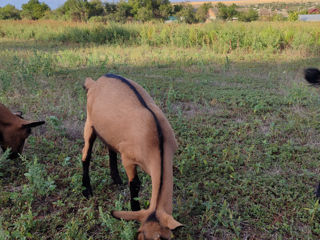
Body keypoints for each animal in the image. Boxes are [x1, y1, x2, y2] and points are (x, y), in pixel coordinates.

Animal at [82, 74, 182, 239]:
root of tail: (96, 82)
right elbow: (135, 183)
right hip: (90, 123)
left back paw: (116, 179)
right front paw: (135, 208)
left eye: (162, 237)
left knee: (111, 149)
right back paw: (86, 190)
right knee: (86, 155)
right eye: (140, 234)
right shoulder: (128, 159)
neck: (157, 141)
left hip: (111, 132)